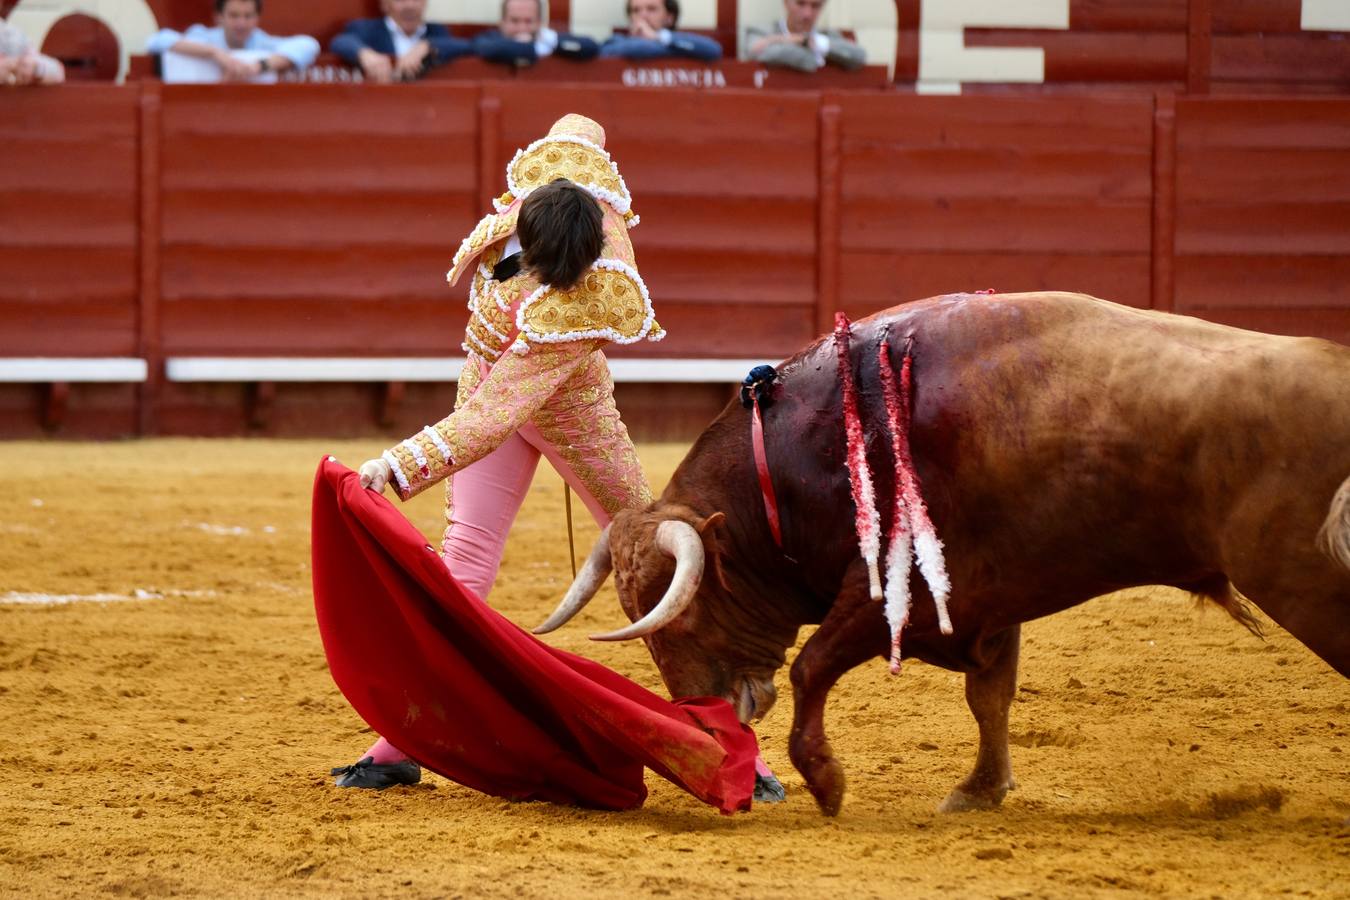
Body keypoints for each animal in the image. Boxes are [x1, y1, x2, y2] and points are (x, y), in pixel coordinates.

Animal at [531, 294, 1344, 814]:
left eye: (687, 615)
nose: (703, 721)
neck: (801, 453)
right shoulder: (989, 601)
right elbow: (991, 696)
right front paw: (981, 791)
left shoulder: (896, 592)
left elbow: (813, 665)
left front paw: (826, 781)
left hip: (1306, 583)